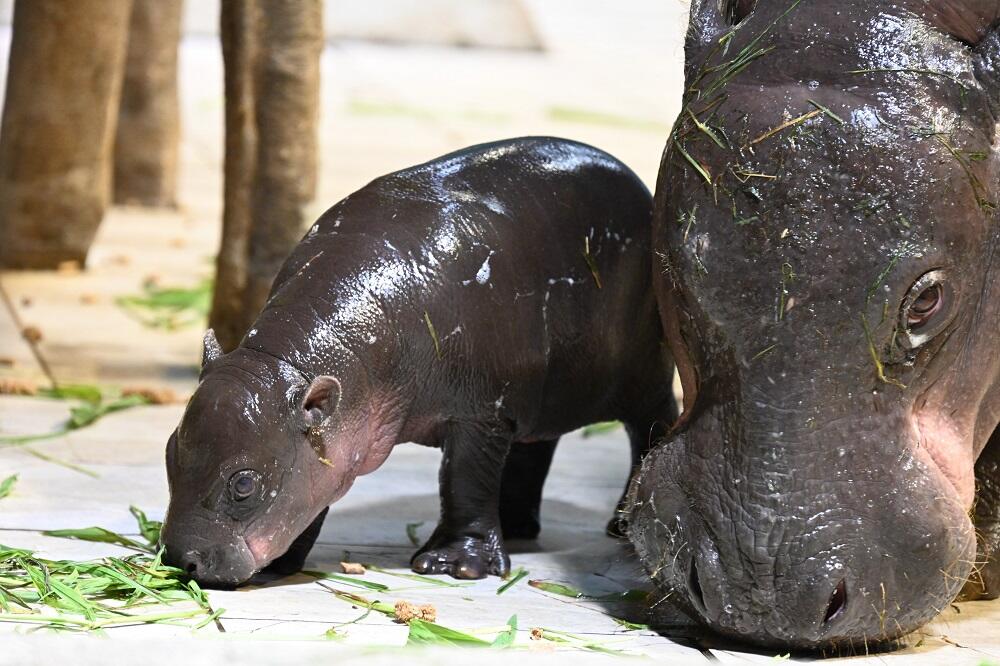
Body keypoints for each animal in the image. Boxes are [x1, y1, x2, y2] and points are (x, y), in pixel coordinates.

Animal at [162, 137, 680, 584]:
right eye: (170, 452)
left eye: (244, 484)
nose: (178, 560)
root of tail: (641, 189)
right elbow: (314, 491)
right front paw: (286, 560)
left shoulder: (481, 412)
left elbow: (464, 480)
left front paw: (454, 567)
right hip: (538, 390)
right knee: (534, 448)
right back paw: (514, 526)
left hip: (639, 374)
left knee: (653, 424)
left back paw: (620, 526)